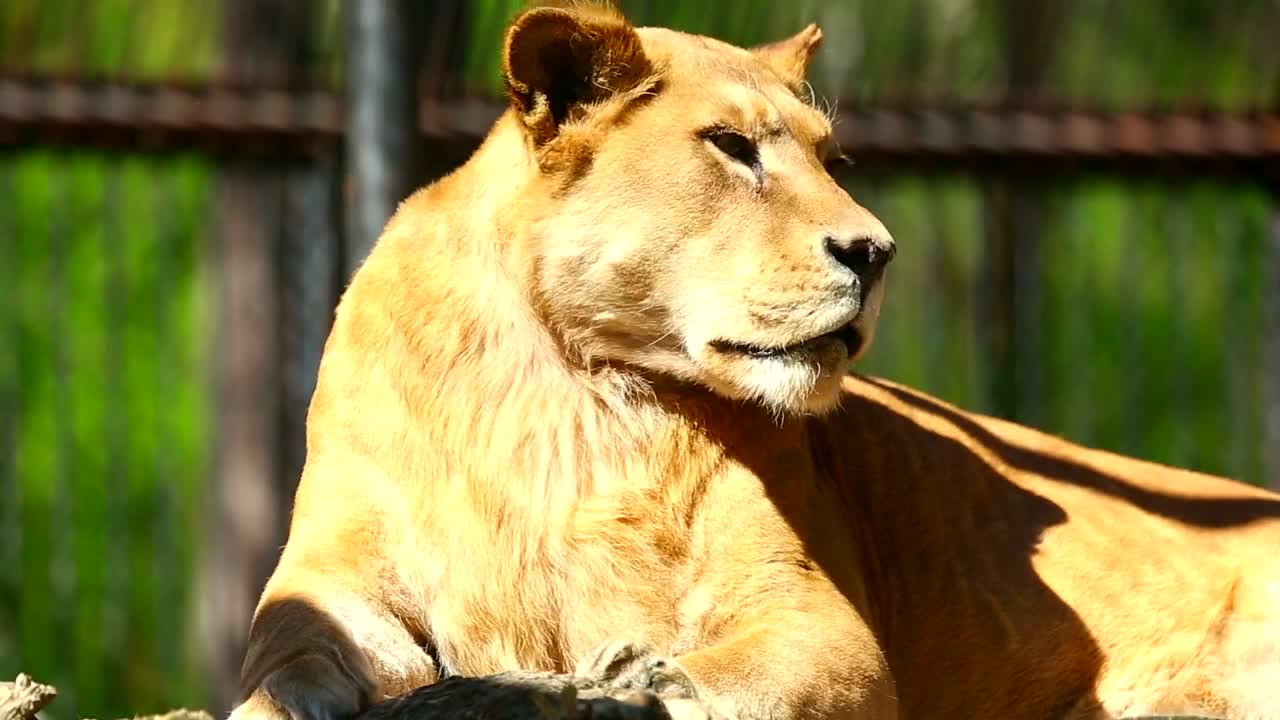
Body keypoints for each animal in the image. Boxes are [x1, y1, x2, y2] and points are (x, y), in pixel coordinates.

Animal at [229, 4, 1280, 720]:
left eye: (830, 159)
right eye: (732, 147)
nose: (876, 252)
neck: (569, 382)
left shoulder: (825, 626)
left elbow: (735, 674)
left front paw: (639, 683)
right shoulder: (337, 561)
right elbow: (289, 638)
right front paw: (291, 698)